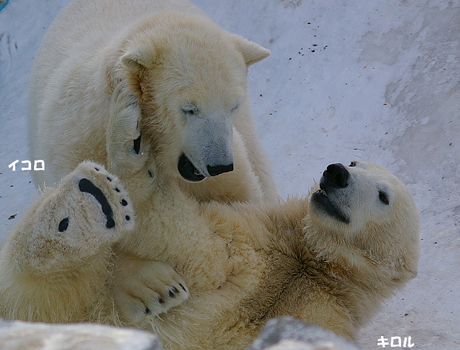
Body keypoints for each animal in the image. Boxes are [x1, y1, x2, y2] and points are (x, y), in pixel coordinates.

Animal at [0, 87, 420, 350]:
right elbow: (195, 242)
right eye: (354, 161)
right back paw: (86, 207)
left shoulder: (325, 312)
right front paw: (131, 139)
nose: (335, 173)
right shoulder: (262, 237)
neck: (315, 266)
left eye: (383, 196)